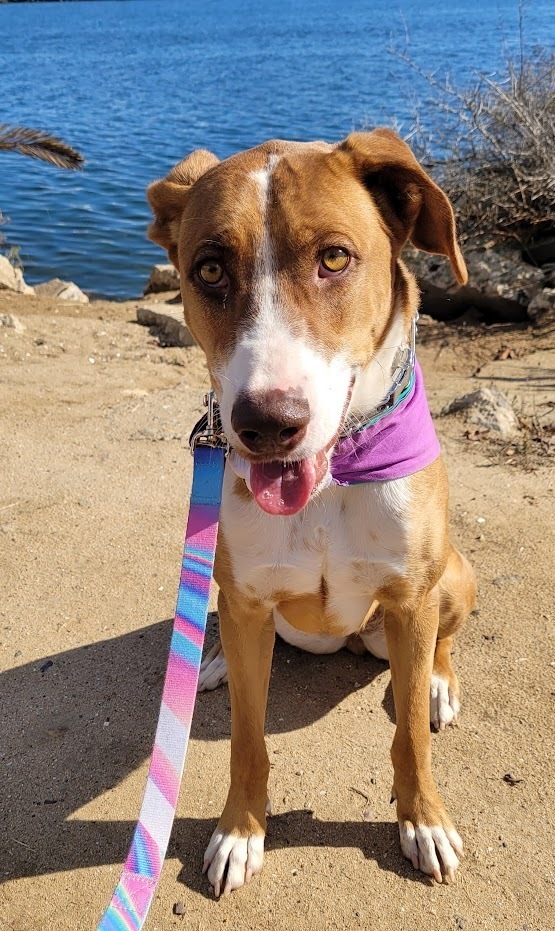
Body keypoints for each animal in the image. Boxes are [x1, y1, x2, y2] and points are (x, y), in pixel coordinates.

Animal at [148, 127, 478, 900]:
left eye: (334, 258)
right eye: (209, 268)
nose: (267, 424)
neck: (332, 482)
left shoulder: (411, 597)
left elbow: (409, 738)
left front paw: (424, 820)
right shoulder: (246, 599)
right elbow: (246, 739)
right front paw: (240, 829)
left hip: (450, 579)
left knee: (439, 648)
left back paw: (437, 685)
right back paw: (209, 659)